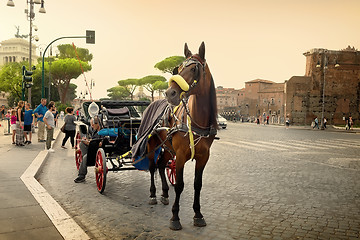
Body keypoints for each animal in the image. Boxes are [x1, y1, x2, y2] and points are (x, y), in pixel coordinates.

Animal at [146, 41, 217, 231]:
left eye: (194, 69)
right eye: (177, 69)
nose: (170, 93)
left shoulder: (203, 156)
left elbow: (197, 184)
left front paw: (198, 214)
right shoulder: (181, 155)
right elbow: (179, 185)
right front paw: (175, 217)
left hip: (169, 148)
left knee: (161, 165)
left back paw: (164, 193)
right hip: (152, 145)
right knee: (152, 166)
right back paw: (153, 195)